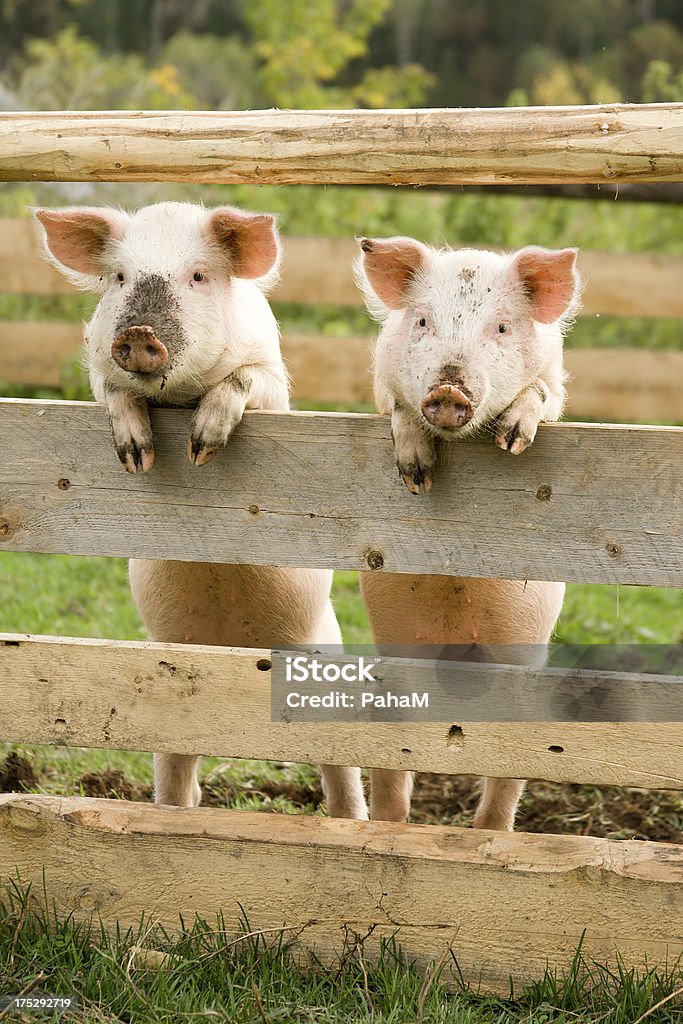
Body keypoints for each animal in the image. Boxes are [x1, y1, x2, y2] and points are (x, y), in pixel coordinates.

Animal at [36, 203, 368, 819]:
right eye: (120, 277)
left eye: (197, 276)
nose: (138, 333)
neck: (179, 398)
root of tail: (234, 651)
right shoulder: (98, 374)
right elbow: (114, 393)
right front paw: (137, 456)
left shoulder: (274, 380)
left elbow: (245, 381)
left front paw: (201, 446)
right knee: (180, 783)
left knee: (342, 775)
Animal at [356, 235, 581, 827]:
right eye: (423, 321)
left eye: (501, 327)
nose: (449, 390)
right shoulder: (383, 387)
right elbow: (398, 409)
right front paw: (416, 476)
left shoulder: (556, 385)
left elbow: (540, 397)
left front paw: (512, 441)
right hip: (400, 650)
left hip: (521, 654)